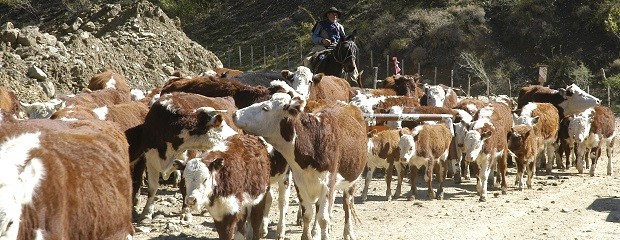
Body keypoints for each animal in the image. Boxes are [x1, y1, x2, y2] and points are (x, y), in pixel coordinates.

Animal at [234, 92, 368, 240]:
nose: (235, 114)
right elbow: (308, 214)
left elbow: (323, 218)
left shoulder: (327, 183)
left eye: (265, 108)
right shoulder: (300, 182)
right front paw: (307, 235)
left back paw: (348, 232)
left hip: (351, 181)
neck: (313, 140)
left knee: (347, 204)